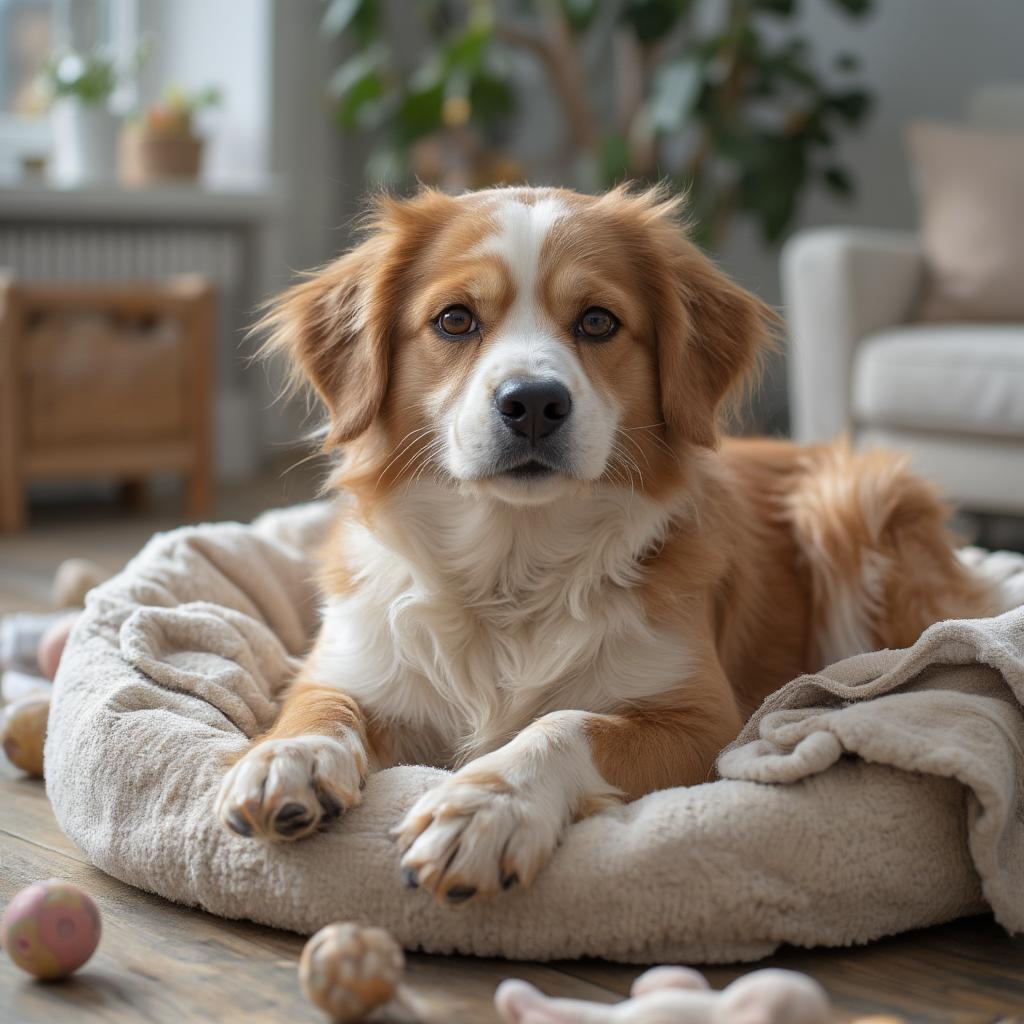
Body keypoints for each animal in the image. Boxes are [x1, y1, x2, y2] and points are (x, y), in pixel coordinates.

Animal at [214, 184, 991, 905]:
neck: (510, 572)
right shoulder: (346, 666)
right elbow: (320, 707)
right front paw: (292, 756)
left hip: (850, 502)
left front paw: (488, 804)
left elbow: (565, 723)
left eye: (597, 321)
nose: (532, 402)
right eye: (455, 319)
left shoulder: (707, 724)